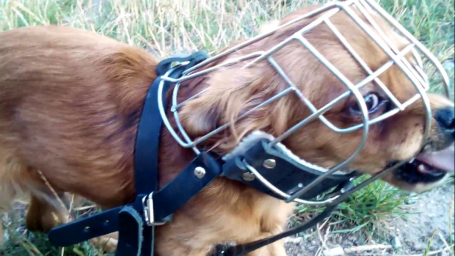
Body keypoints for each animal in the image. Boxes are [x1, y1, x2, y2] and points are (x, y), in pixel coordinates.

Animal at [0, 0, 454, 256]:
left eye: (412, 66)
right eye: (368, 103)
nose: (451, 117)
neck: (232, 164)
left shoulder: (261, 243)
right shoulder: (181, 247)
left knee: (45, 222)